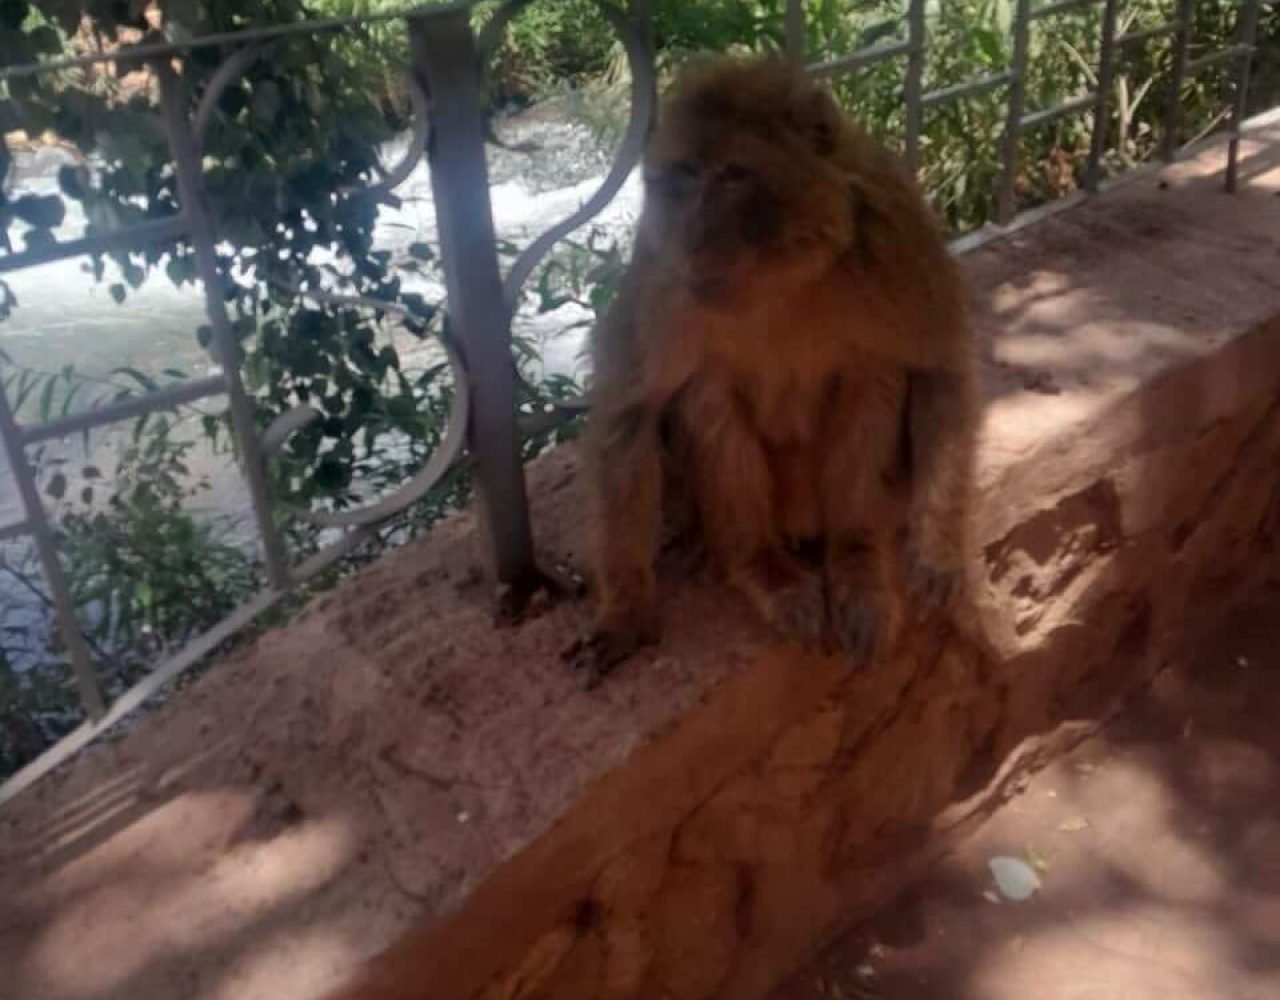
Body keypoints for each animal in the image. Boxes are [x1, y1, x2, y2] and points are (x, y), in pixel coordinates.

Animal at [563, 55, 978, 682]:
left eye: (733, 176)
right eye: (684, 175)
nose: (696, 237)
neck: (782, 278)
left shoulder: (890, 236)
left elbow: (940, 364)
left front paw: (938, 554)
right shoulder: (664, 272)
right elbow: (631, 408)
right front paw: (626, 613)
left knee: (873, 376)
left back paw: (856, 559)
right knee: (706, 392)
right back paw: (762, 567)